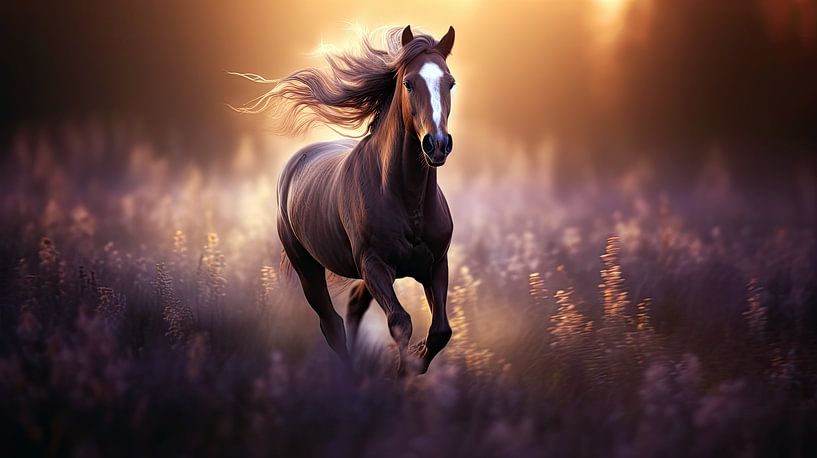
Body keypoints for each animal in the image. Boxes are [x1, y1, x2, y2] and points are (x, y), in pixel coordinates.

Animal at [235, 25, 457, 375]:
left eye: (450, 82)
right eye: (409, 83)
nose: (436, 144)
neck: (408, 201)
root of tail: (296, 162)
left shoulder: (435, 264)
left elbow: (440, 331)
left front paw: (413, 365)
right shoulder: (374, 264)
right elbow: (401, 322)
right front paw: (399, 374)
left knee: (353, 305)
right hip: (308, 267)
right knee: (332, 324)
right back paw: (350, 377)